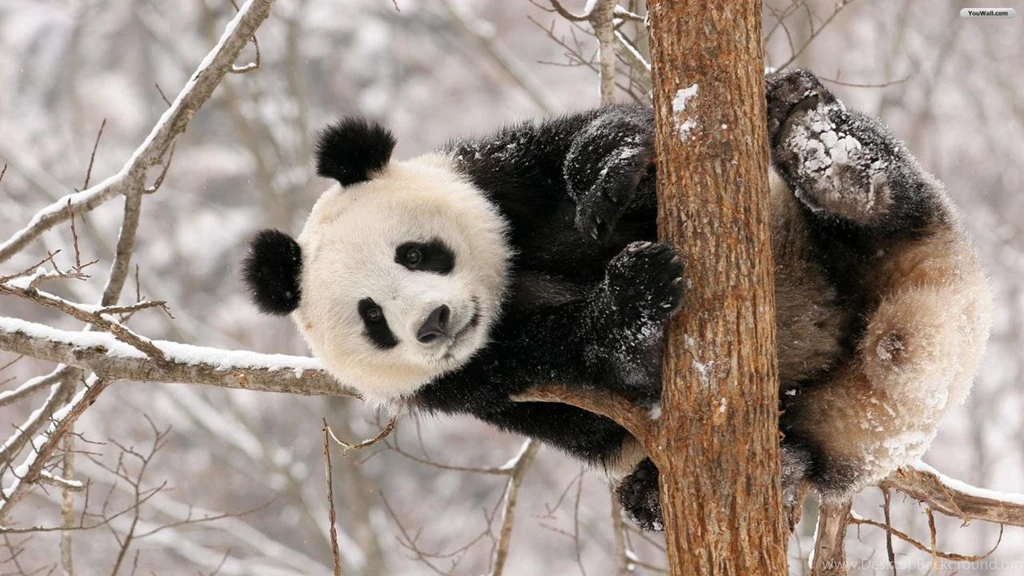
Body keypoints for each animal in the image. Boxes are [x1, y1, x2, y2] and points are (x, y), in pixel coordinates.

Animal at [242, 69, 991, 530]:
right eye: (372, 317)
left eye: (417, 254)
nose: (434, 321)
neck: (508, 291)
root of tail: (911, 348)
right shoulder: (474, 382)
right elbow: (593, 389)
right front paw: (635, 293)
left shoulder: (500, 179)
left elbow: (592, 149)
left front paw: (611, 171)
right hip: (830, 415)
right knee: (810, 451)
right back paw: (728, 476)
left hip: (880, 244)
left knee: (889, 203)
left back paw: (825, 153)